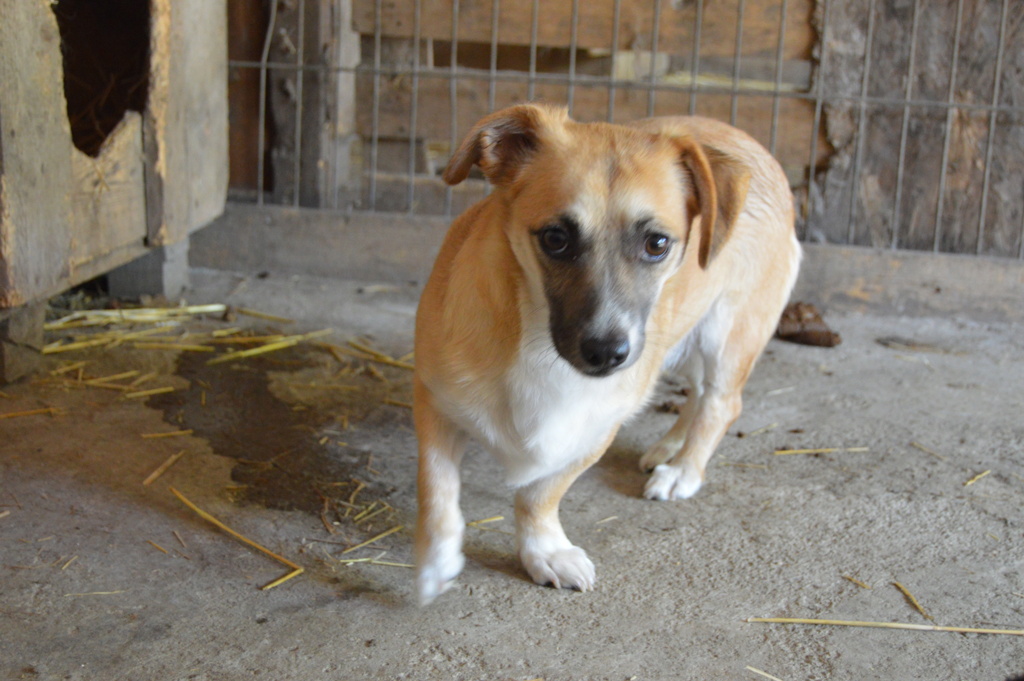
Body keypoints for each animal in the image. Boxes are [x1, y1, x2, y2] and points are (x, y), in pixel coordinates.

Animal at [411, 103, 802, 602]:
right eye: (555, 238)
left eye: (657, 243)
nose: (607, 353)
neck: (535, 343)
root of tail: (755, 145)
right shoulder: (435, 404)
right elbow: (437, 491)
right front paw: (435, 562)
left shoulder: (595, 428)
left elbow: (541, 494)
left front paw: (544, 550)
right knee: (697, 395)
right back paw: (669, 447)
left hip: (727, 334)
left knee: (721, 403)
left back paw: (683, 470)